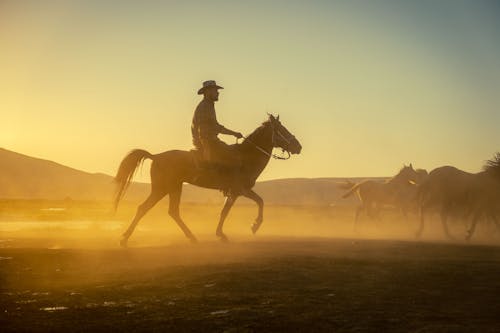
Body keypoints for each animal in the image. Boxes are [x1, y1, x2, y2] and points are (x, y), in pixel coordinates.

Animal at [114, 115, 302, 246]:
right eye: (282, 129)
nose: (298, 146)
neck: (245, 157)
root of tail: (156, 156)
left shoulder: (234, 192)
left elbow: (225, 211)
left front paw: (221, 234)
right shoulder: (240, 190)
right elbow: (259, 202)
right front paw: (254, 226)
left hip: (175, 188)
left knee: (173, 211)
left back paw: (192, 237)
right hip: (161, 188)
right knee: (143, 208)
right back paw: (124, 239)